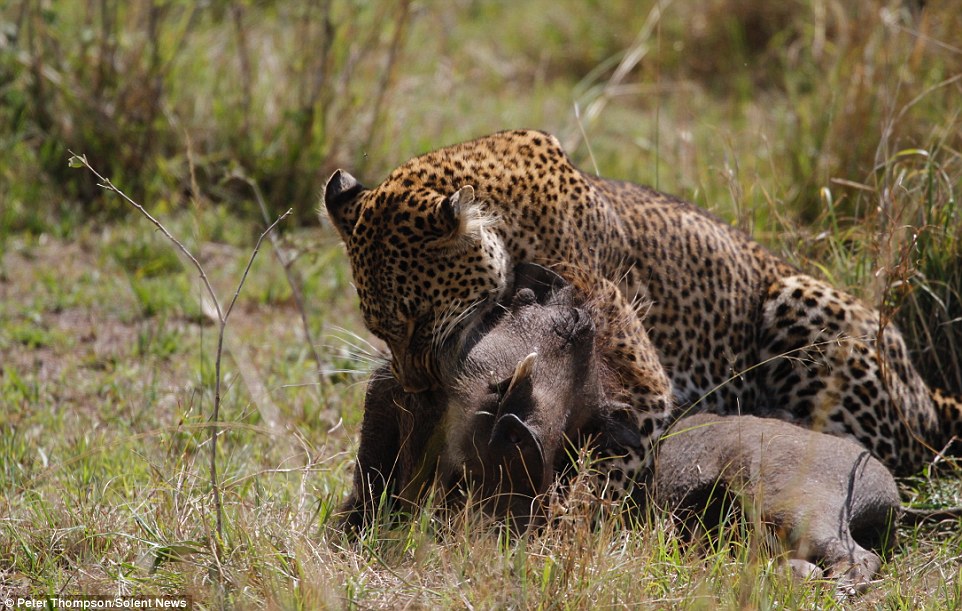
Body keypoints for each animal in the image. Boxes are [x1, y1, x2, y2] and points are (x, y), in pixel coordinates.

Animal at [322, 126, 960, 476]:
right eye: (378, 328)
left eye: (416, 319)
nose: (416, 388)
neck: (510, 222)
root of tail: (925, 385)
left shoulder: (644, 382)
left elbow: (608, 467)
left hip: (797, 300)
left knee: (885, 447)